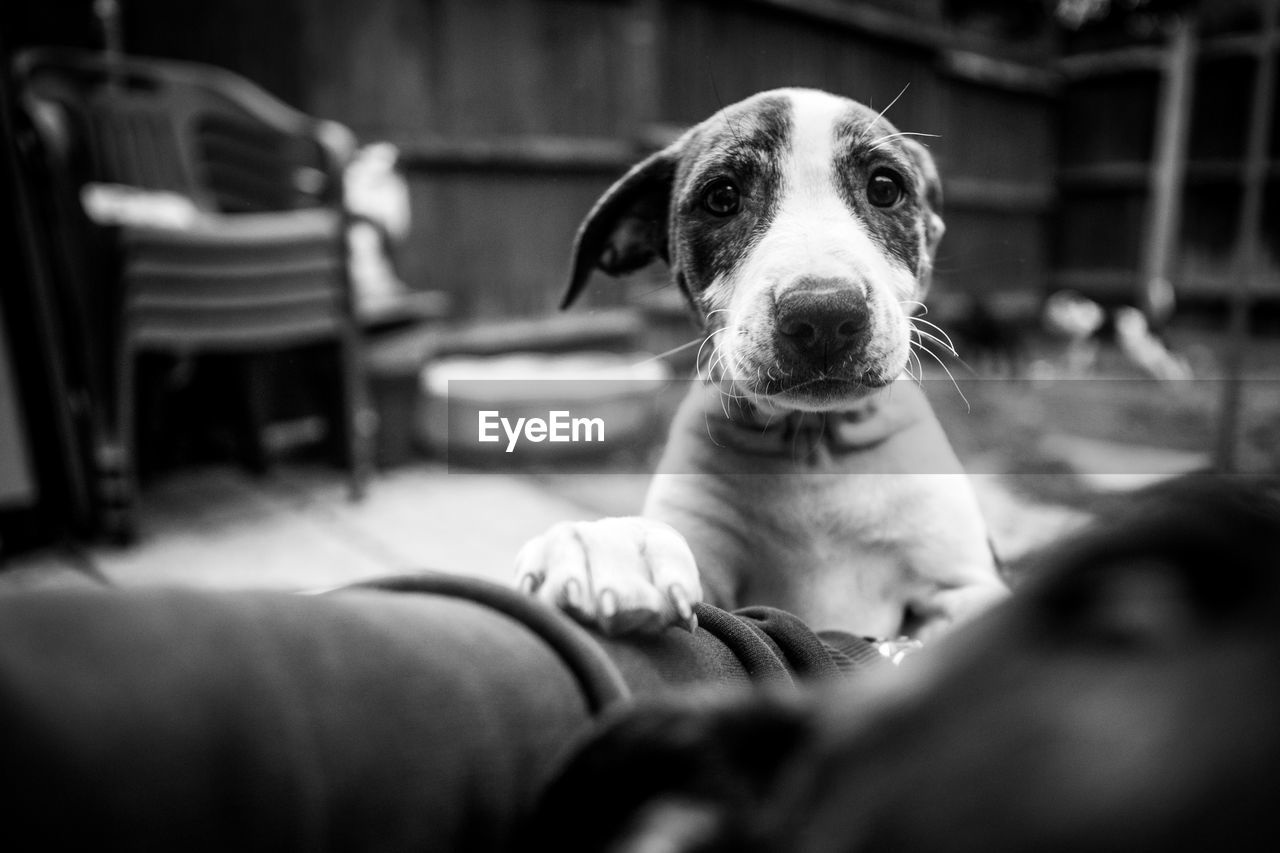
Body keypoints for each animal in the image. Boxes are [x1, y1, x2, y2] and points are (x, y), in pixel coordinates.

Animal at [514, 89, 1003, 637]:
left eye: (884, 187)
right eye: (721, 198)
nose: (824, 313)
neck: (813, 444)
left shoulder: (963, 587)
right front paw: (613, 545)